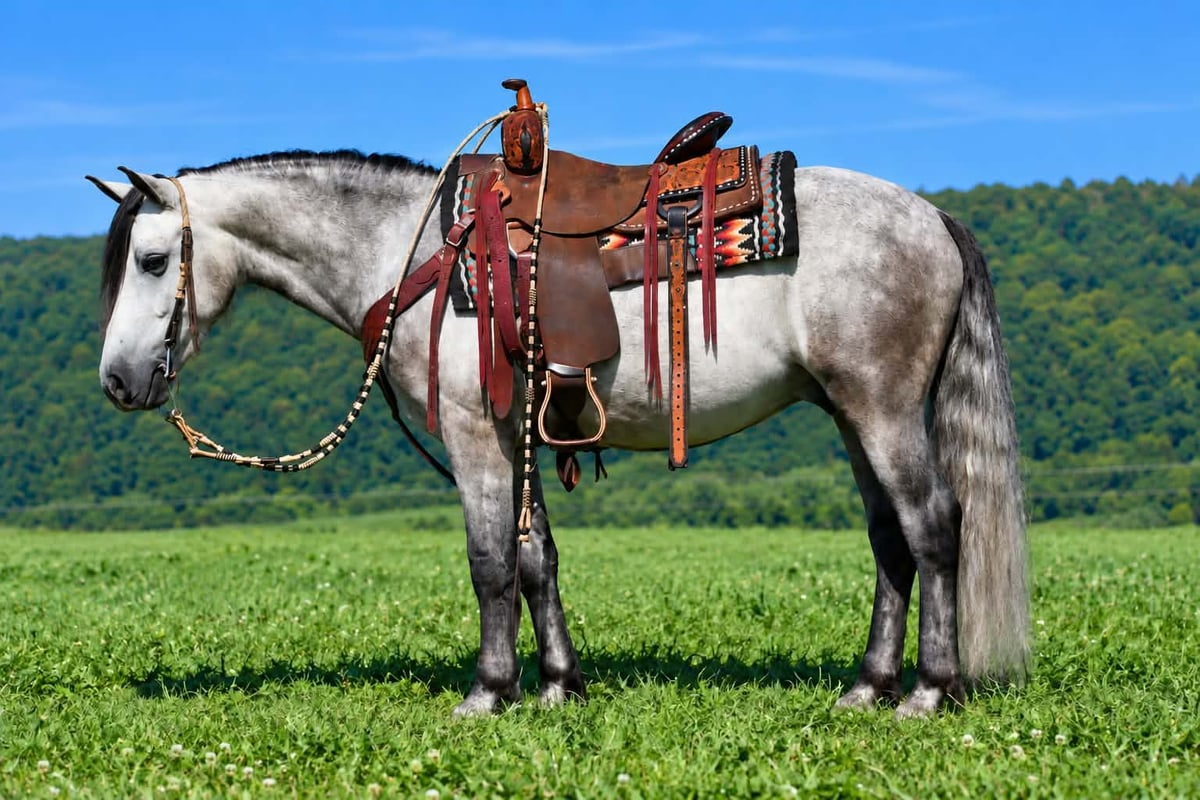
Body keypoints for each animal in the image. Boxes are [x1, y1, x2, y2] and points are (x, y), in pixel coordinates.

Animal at [88, 142, 1029, 718]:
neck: (414, 253)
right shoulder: (516, 440)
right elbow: (537, 558)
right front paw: (558, 685)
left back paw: (928, 692)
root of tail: (933, 217)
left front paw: (487, 691)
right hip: (852, 415)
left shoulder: (474, 436)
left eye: (152, 260)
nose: (119, 381)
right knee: (890, 540)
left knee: (933, 526)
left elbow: (490, 562)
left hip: (883, 409)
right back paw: (868, 687)